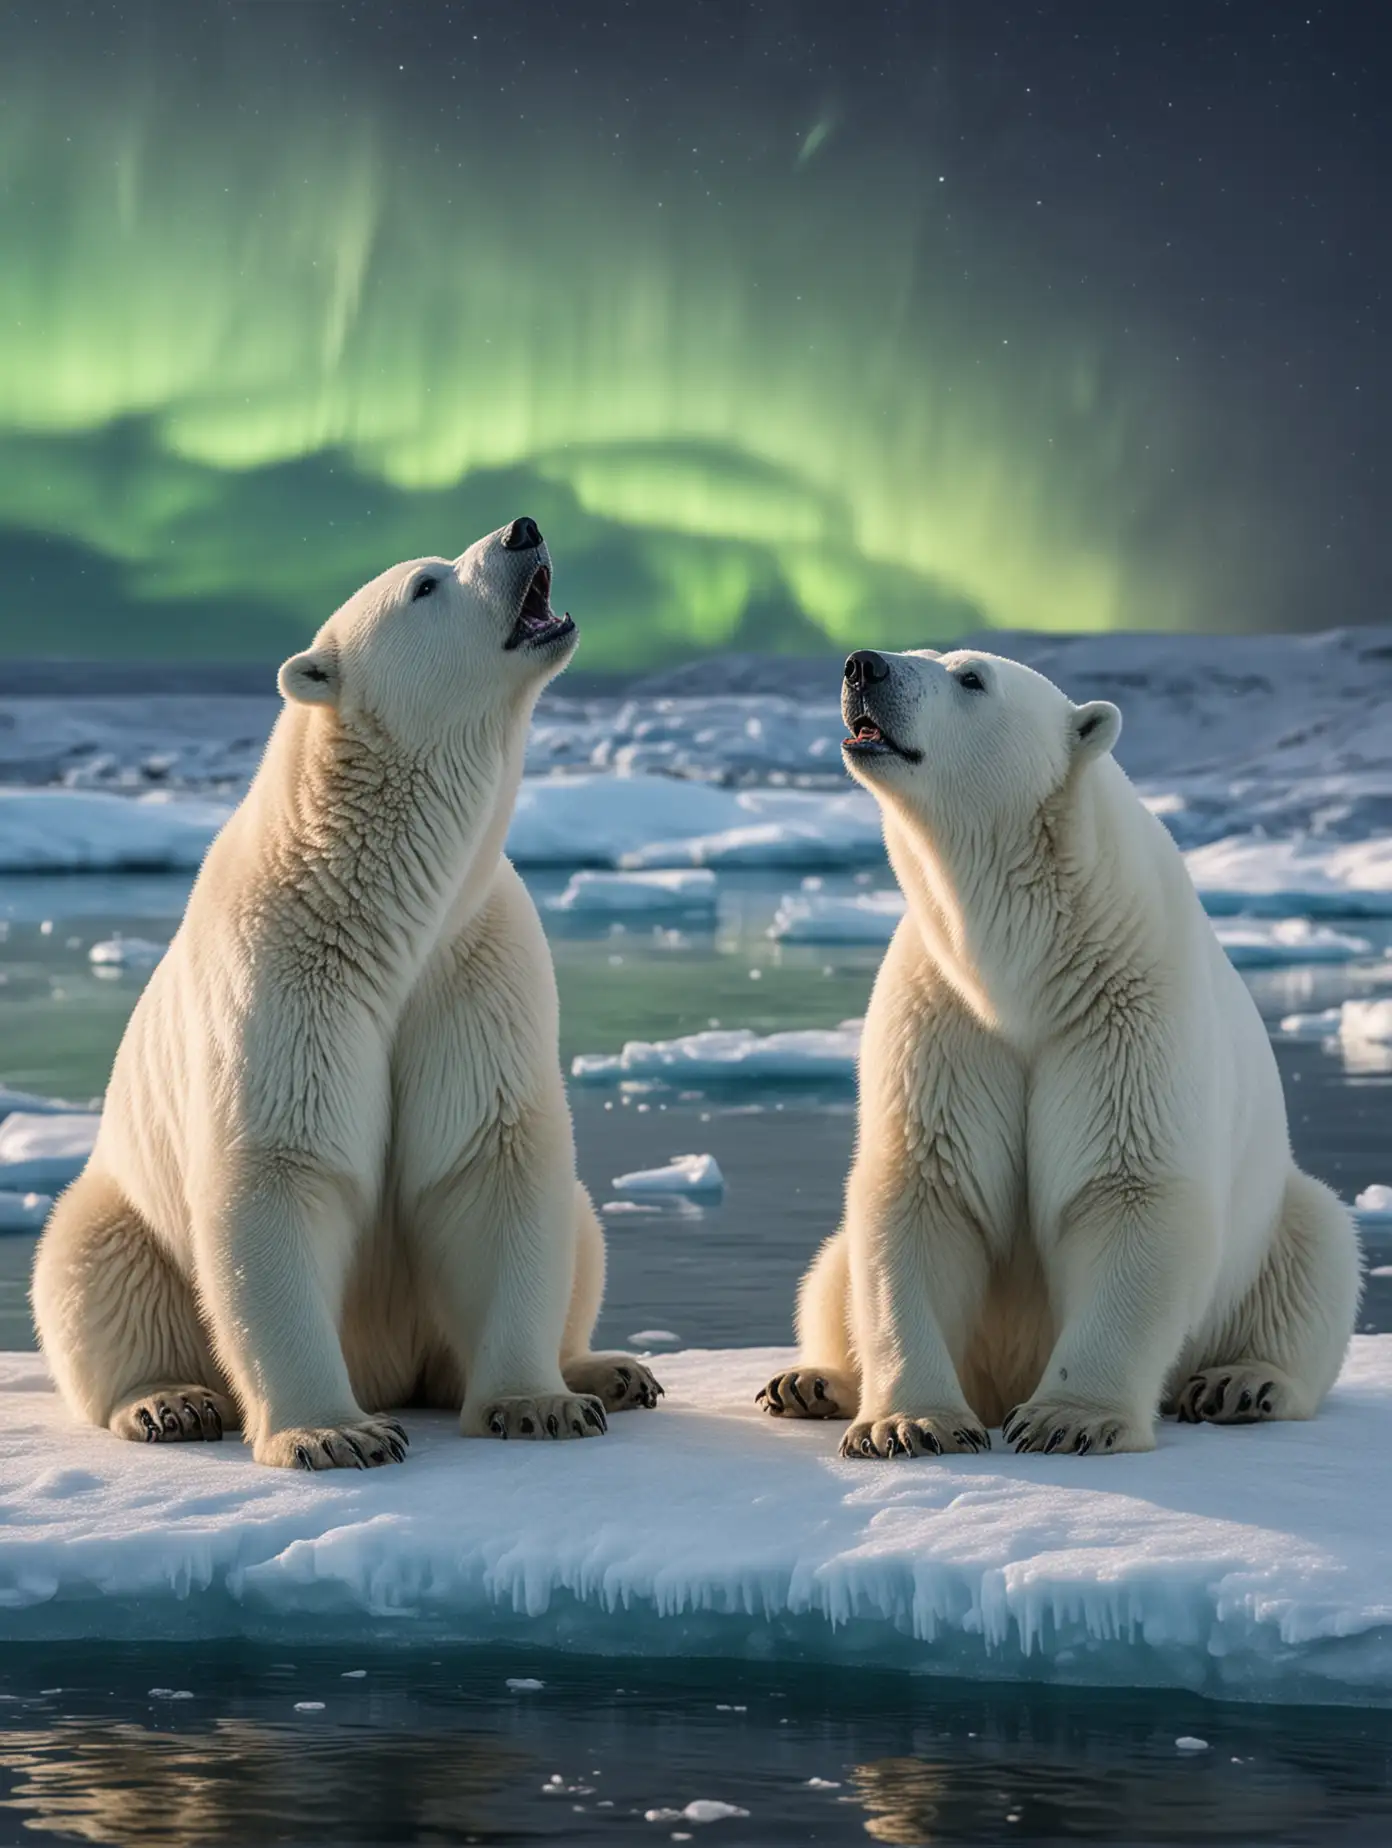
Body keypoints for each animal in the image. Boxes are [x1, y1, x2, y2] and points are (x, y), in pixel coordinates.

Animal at [33, 521, 661, 1471]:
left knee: (580, 1229)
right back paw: (168, 1401)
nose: (523, 530)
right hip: (122, 1211)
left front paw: (537, 1404)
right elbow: (280, 1171)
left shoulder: (473, 968)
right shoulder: (285, 976)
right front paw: (333, 1432)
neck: (384, 912)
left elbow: (493, 1160)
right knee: (90, 1265)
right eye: (426, 585)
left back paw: (608, 1371)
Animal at [761, 646, 1360, 1456]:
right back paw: (810, 1382)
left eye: (971, 677)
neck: (1030, 965)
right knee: (831, 1270)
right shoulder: (943, 1016)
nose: (864, 665)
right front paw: (910, 1423)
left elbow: (1129, 1189)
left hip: (1274, 1227)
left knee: (1318, 1251)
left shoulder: (1125, 1010)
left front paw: (1069, 1419)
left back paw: (1243, 1382)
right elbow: (921, 1194)